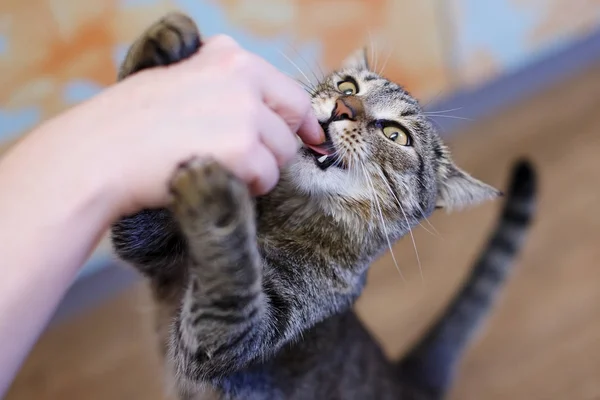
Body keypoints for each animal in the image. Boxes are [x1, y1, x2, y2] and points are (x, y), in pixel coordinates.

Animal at [112, 12, 540, 400]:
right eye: (348, 86)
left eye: (395, 134)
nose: (342, 108)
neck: (282, 213)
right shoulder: (155, 252)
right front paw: (160, 43)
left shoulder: (232, 336)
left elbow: (229, 280)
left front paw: (217, 197)